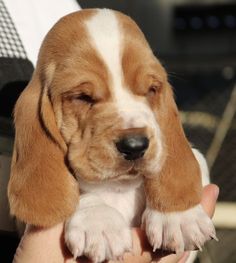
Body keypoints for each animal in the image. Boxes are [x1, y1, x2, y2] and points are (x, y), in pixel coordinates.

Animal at [8, 8, 217, 263]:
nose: (135, 145)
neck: (119, 186)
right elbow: (82, 192)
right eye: (83, 97)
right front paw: (98, 222)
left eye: (151, 90)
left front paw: (177, 216)